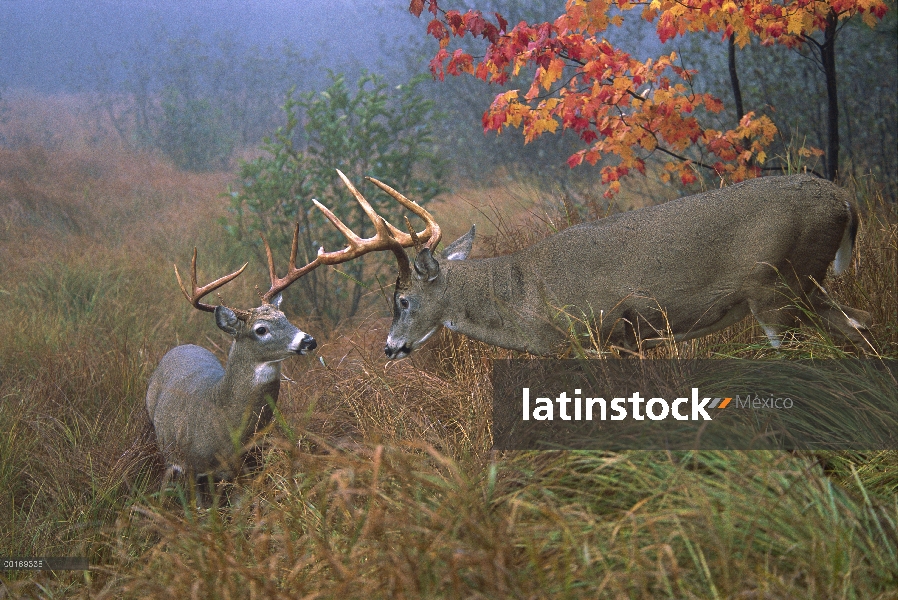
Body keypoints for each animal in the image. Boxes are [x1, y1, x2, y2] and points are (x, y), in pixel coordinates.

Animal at [144, 170, 438, 496]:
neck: (219, 419)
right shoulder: (188, 468)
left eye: (285, 317)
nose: (309, 340)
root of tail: (179, 347)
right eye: (260, 329)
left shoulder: (248, 465)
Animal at [372, 173, 868, 356]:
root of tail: (844, 200)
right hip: (809, 285)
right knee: (859, 327)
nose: (389, 347)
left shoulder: (606, 331)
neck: (527, 296)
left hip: (776, 288)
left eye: (403, 300)